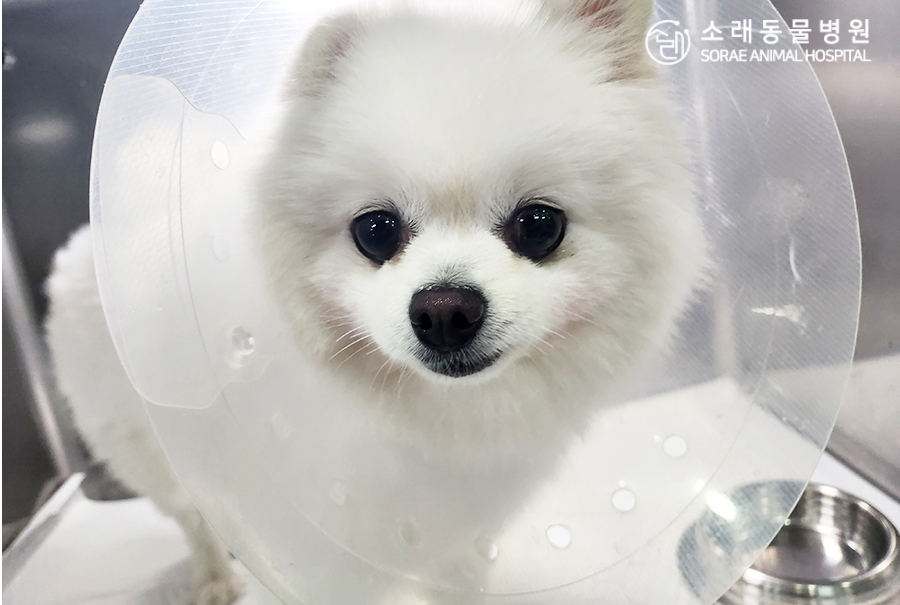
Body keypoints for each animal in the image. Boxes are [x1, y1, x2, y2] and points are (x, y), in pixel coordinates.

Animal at [45, 0, 705, 602]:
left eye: (540, 225)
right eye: (376, 231)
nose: (445, 309)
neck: (435, 417)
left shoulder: (458, 529)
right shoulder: (312, 548)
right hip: (146, 446)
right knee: (191, 515)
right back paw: (212, 575)